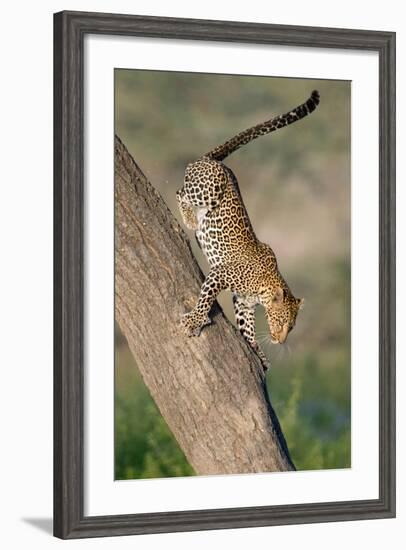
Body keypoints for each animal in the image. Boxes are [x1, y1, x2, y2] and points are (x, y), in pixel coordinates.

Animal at [178, 90, 320, 370]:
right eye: (282, 321)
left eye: (291, 327)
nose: (279, 340)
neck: (264, 288)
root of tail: (213, 161)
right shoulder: (220, 274)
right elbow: (205, 299)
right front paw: (195, 321)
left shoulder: (243, 303)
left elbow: (248, 329)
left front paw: (258, 352)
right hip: (209, 188)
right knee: (181, 192)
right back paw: (189, 218)